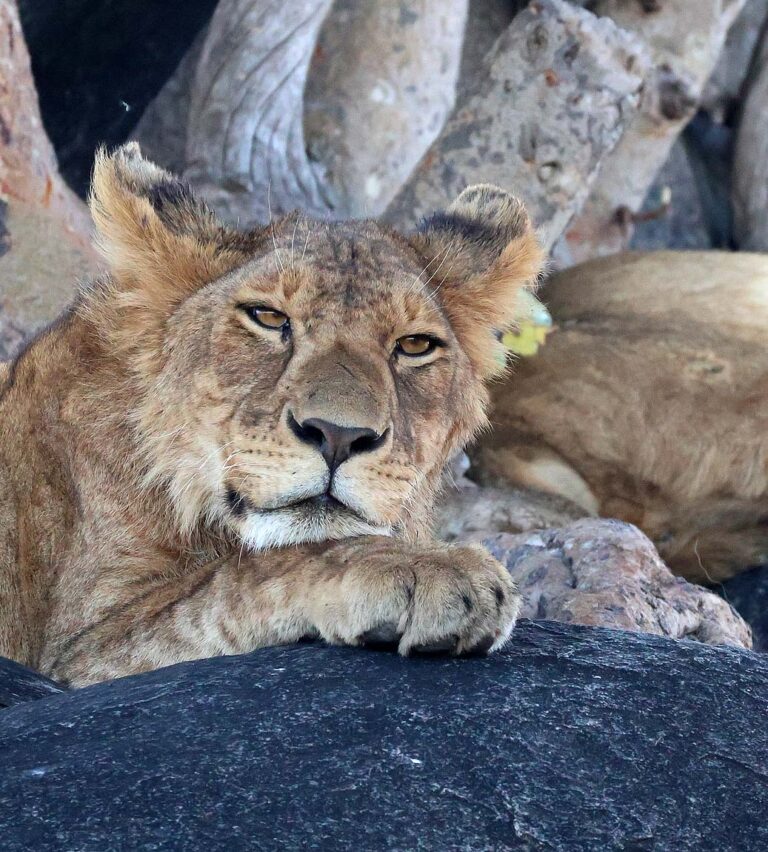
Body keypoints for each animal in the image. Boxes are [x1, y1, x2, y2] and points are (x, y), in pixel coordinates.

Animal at [0, 143, 543, 686]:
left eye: (414, 345)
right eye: (267, 317)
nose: (339, 435)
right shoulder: (79, 653)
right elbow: (248, 573)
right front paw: (418, 566)